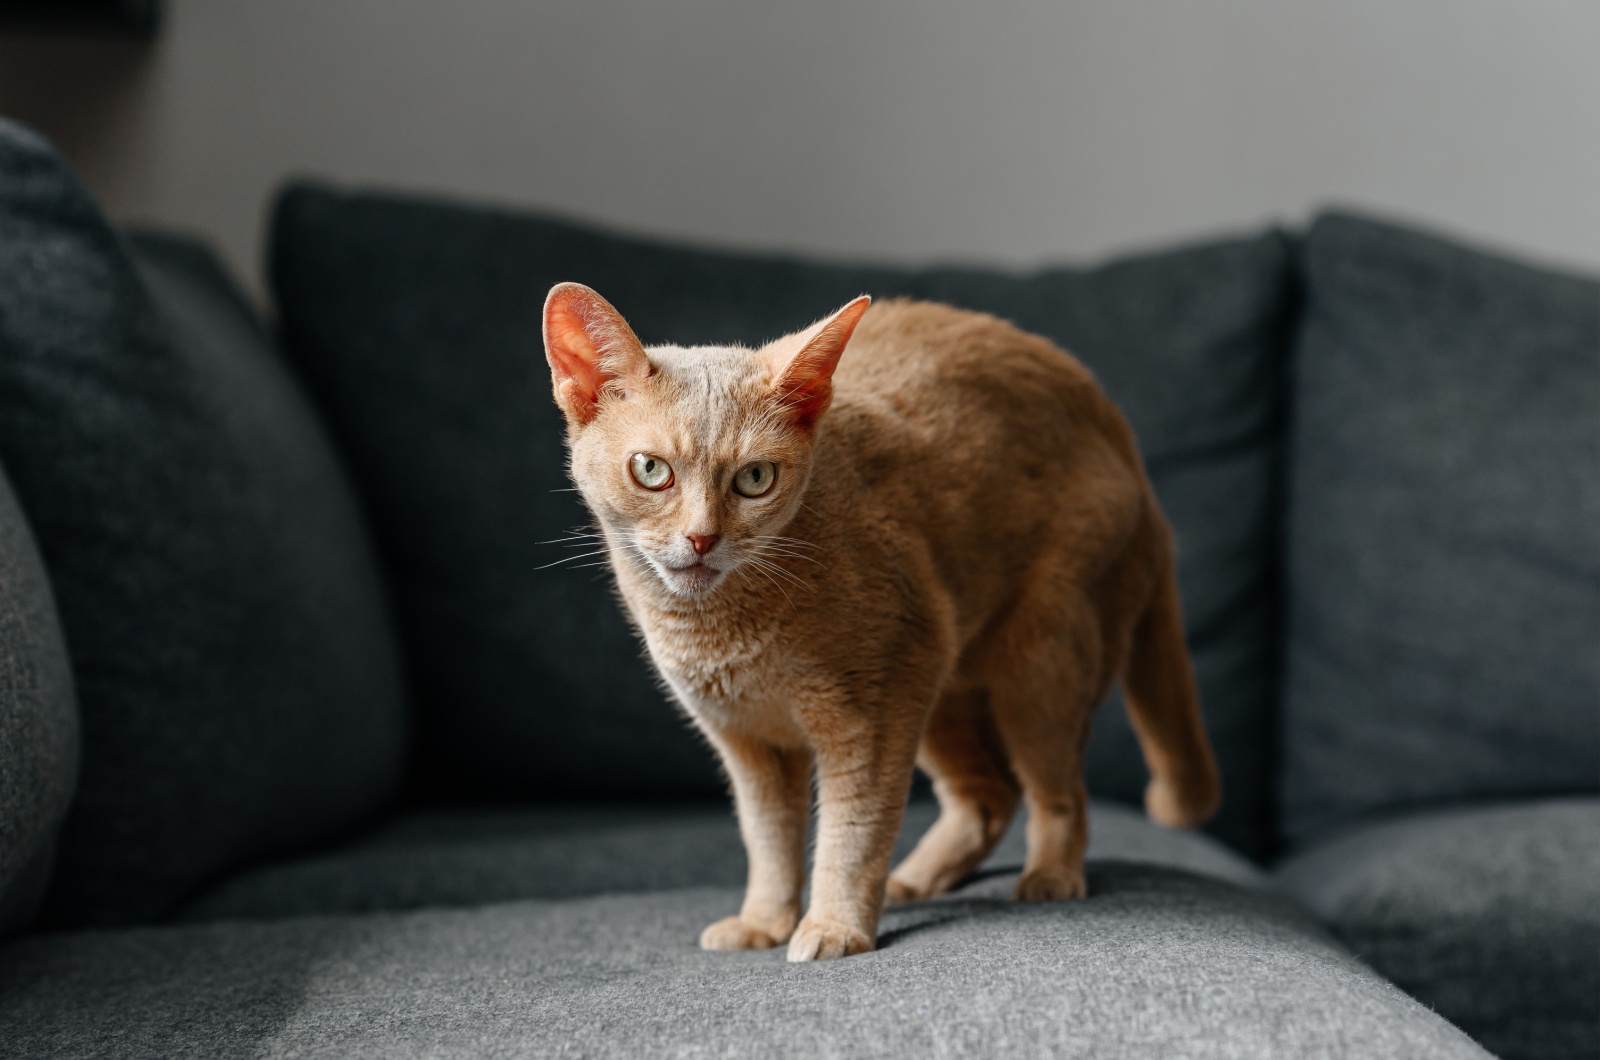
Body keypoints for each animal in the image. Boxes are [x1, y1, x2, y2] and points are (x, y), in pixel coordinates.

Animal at [544, 281, 1216, 960]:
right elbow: (769, 838)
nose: (702, 538)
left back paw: (1049, 877)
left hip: (1041, 662)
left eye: (755, 478)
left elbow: (854, 829)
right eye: (651, 470)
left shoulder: (874, 712)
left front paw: (834, 927)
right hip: (944, 685)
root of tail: (1123, 438)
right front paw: (765, 921)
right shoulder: (748, 744)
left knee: (1060, 793)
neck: (728, 639)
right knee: (988, 795)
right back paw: (914, 881)